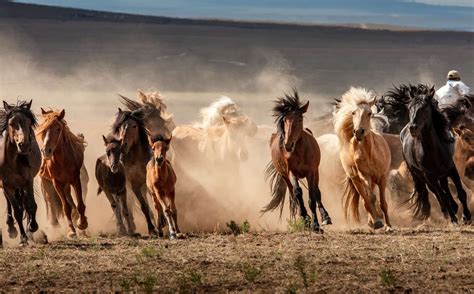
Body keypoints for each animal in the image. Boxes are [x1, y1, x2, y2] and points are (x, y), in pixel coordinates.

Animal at [0, 100, 42, 245]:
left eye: (28, 123)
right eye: (11, 123)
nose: (24, 145)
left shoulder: (27, 182)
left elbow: (31, 205)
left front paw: (33, 226)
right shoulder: (7, 186)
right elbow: (17, 210)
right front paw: (22, 238)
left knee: (26, 203)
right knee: (11, 205)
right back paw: (11, 229)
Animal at [36, 109, 88, 238]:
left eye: (58, 128)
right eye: (43, 130)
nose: (46, 151)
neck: (62, 160)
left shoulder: (75, 179)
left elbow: (80, 204)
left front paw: (82, 223)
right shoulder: (57, 183)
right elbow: (65, 207)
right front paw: (71, 231)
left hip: (67, 183)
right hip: (47, 182)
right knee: (50, 200)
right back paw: (55, 224)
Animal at [262, 89, 332, 232]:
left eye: (300, 119)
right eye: (285, 120)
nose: (288, 144)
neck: (300, 152)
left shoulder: (311, 172)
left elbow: (312, 197)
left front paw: (316, 225)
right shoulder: (291, 173)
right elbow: (298, 193)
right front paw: (307, 220)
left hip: (315, 172)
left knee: (317, 192)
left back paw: (325, 218)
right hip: (285, 176)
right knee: (294, 195)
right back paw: (305, 217)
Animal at [334, 86, 392, 230]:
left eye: (369, 113)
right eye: (353, 113)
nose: (358, 132)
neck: (371, 153)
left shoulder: (383, 177)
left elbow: (383, 202)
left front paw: (388, 225)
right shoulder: (364, 176)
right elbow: (371, 198)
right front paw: (378, 220)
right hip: (356, 180)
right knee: (365, 199)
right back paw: (374, 221)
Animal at [402, 85, 472, 225]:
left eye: (424, 108)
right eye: (410, 107)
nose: (413, 128)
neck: (433, 150)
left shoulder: (451, 169)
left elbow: (461, 192)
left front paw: (466, 216)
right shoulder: (430, 176)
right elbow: (442, 195)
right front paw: (454, 219)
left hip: (442, 173)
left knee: (445, 186)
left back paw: (454, 207)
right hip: (421, 176)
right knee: (437, 192)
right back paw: (447, 212)